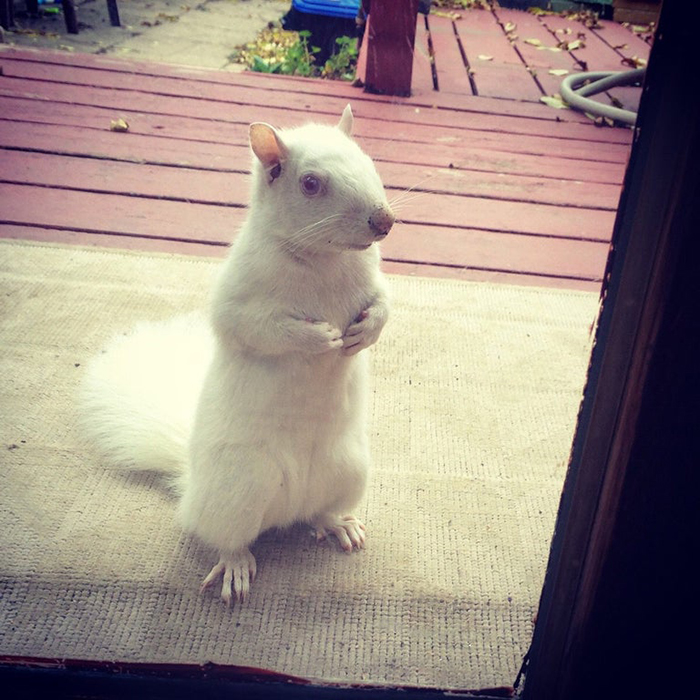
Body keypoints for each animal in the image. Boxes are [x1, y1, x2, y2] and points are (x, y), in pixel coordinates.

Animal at [80, 106, 394, 604]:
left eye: (367, 159)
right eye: (310, 183)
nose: (385, 221)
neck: (323, 260)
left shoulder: (376, 281)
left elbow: (386, 303)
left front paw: (365, 331)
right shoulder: (239, 296)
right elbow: (255, 328)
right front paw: (319, 339)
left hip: (349, 470)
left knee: (320, 513)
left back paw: (337, 524)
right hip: (239, 488)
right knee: (228, 537)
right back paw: (235, 566)